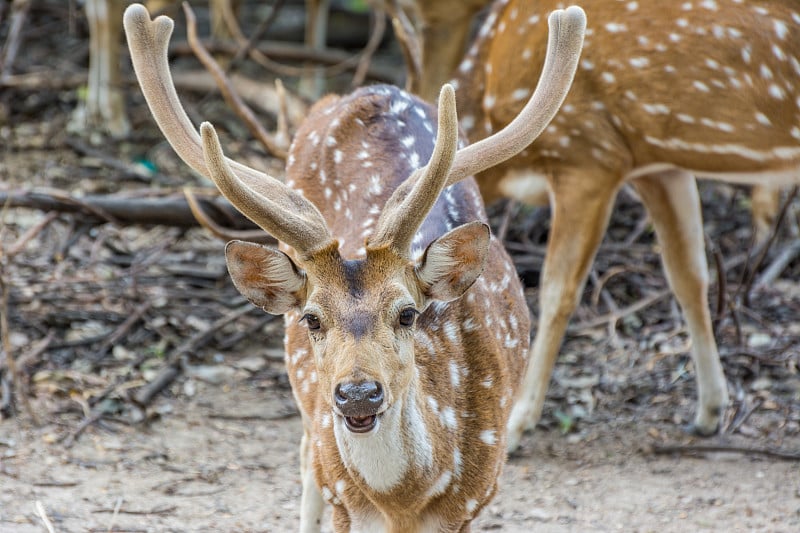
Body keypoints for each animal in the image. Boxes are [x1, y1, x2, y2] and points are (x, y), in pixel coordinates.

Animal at [125, 3, 588, 528]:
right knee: (305, 460)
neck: (403, 502)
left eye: (407, 314)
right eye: (311, 319)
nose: (359, 394)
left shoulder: (476, 497)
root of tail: (367, 89)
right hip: (314, 427)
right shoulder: (344, 499)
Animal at [450, 0, 800, 450]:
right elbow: (688, 276)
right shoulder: (658, 165)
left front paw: (516, 423)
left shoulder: (588, 156)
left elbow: (557, 290)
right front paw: (709, 412)